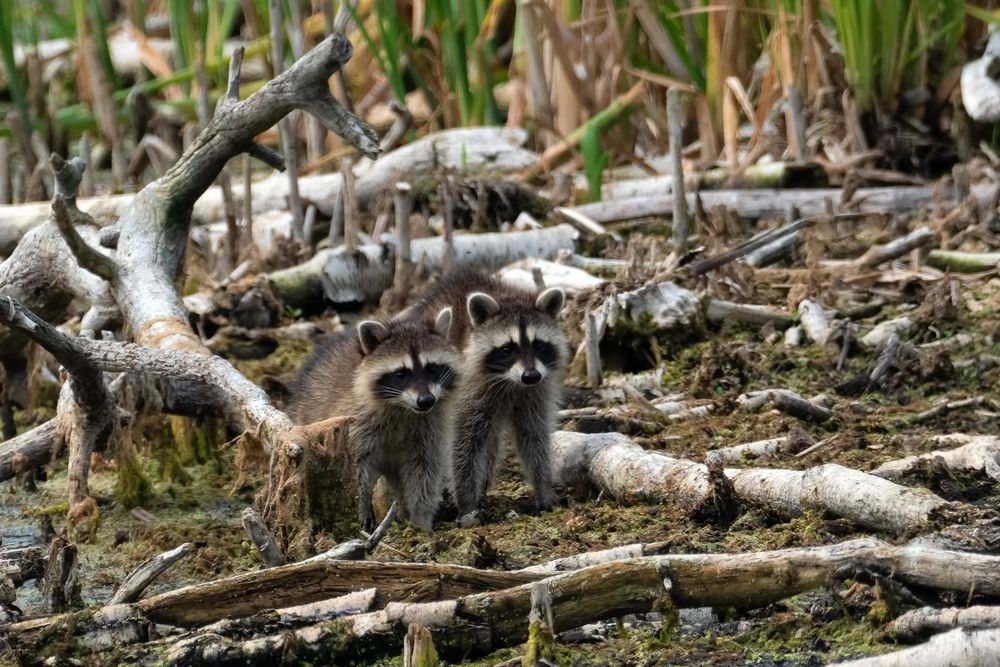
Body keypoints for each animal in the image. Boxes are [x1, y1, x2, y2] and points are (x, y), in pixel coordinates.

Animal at [288, 310, 458, 536]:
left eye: (432, 368)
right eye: (400, 374)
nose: (426, 400)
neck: (402, 407)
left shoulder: (429, 427)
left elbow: (424, 470)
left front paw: (420, 520)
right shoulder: (354, 419)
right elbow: (353, 469)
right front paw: (362, 508)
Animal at [404, 266, 564, 516]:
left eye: (539, 345)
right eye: (508, 349)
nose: (530, 376)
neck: (512, 382)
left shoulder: (536, 390)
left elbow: (534, 436)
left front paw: (543, 487)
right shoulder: (469, 387)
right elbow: (463, 443)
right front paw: (466, 501)